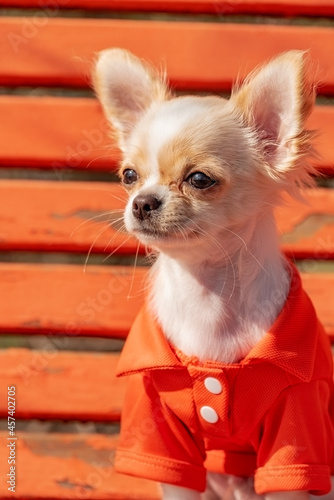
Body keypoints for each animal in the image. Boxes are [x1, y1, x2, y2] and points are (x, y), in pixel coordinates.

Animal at [93, 49, 334, 500]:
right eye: (129, 176)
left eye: (199, 179)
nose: (142, 202)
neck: (208, 296)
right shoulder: (159, 428)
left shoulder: (297, 425)